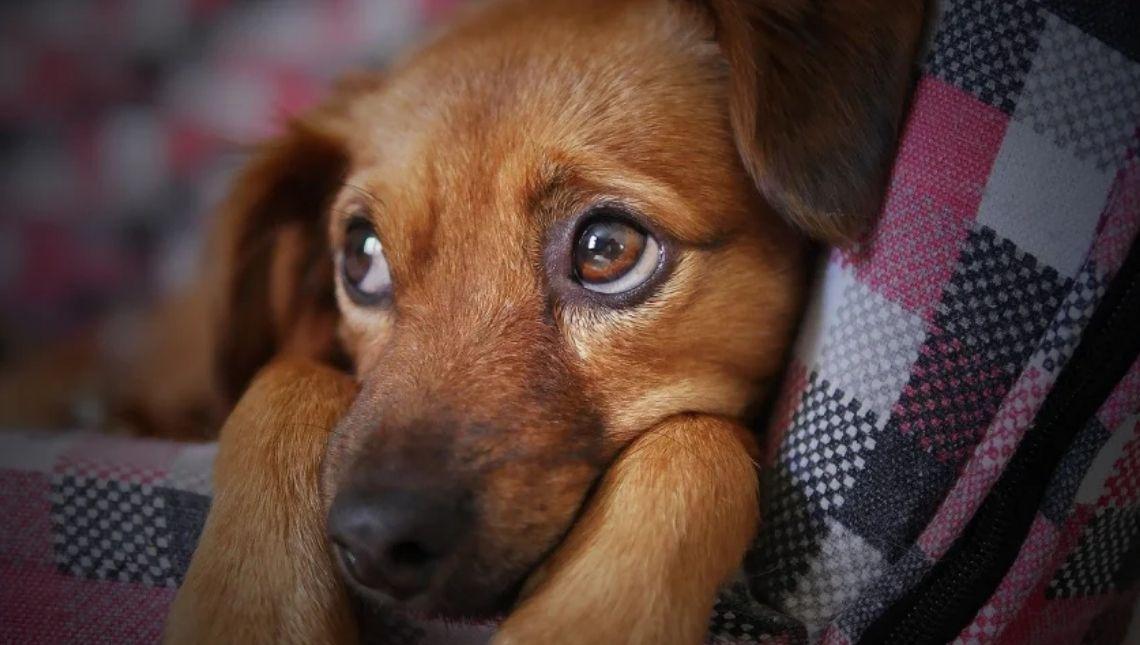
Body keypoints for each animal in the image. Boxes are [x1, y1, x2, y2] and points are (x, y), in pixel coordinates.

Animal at [135, 0, 925, 642]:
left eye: (607, 249)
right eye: (361, 256)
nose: (373, 541)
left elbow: (698, 442)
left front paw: (584, 618)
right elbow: (285, 378)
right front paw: (253, 609)